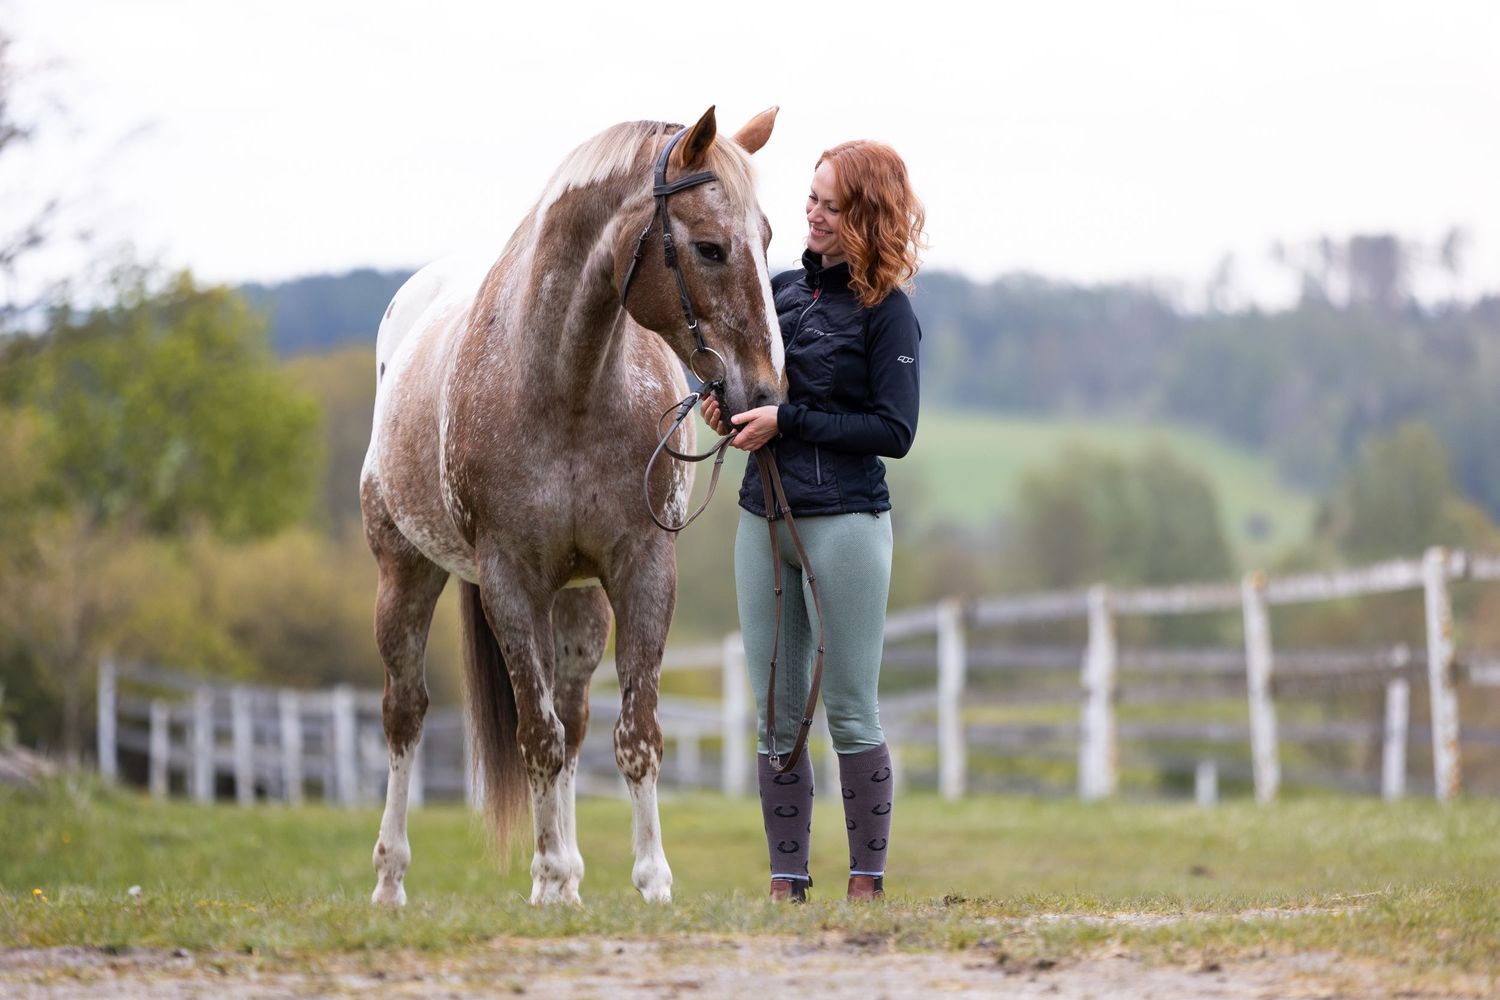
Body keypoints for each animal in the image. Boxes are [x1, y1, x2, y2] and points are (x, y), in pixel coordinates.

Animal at [359, 106, 784, 906]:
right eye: (710, 247)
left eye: (770, 238)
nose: (767, 395)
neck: (571, 385)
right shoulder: (510, 582)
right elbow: (537, 736)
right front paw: (550, 870)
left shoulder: (641, 570)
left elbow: (634, 732)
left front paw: (649, 882)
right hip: (405, 574)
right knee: (407, 714)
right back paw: (395, 882)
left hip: (580, 600)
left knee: (577, 715)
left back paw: (569, 883)